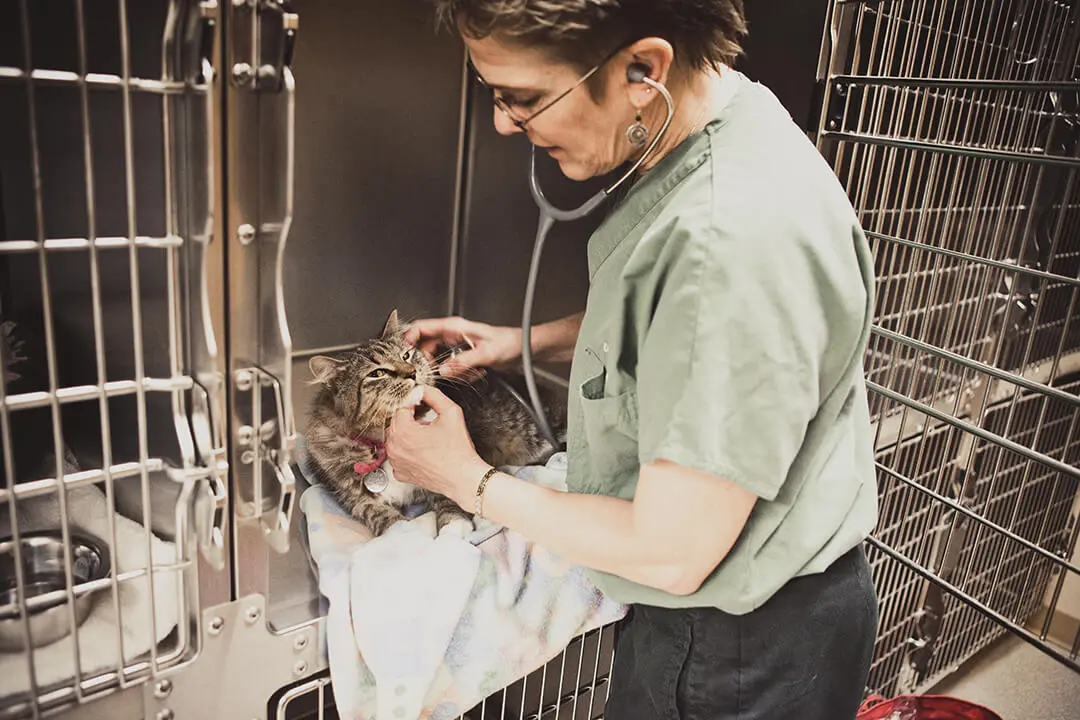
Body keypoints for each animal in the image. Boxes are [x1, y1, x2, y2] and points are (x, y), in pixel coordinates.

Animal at [304, 310, 565, 539]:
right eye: (377, 373)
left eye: (406, 356)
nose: (411, 372)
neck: (382, 439)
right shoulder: (357, 499)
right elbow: (383, 517)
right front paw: (408, 535)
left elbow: (447, 499)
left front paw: (453, 530)